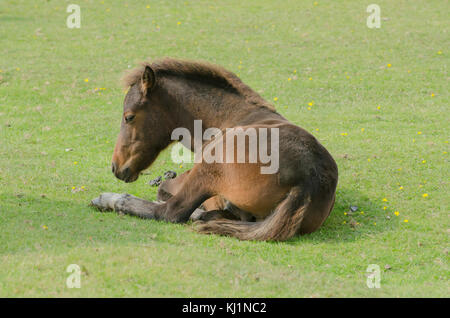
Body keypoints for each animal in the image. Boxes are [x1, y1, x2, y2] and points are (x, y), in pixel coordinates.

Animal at [91, 58, 338, 241]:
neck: (227, 118)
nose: (116, 167)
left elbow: (164, 189)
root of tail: (307, 180)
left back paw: (110, 200)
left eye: (129, 117)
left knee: (172, 211)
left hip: (208, 169)